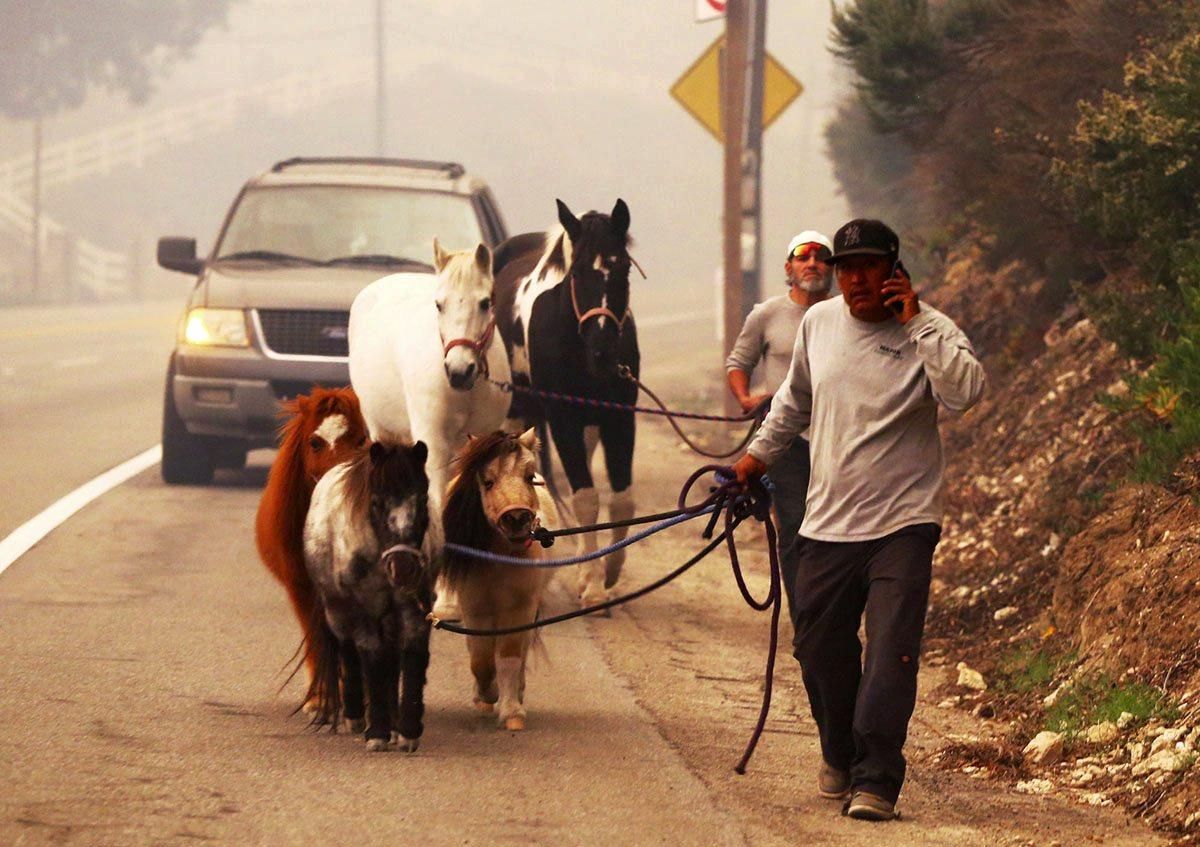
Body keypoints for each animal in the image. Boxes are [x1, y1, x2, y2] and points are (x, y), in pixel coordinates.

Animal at [302, 439, 434, 748]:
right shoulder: (361, 612)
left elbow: (412, 655)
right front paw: (377, 733)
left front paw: (407, 731)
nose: (403, 569)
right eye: (376, 502)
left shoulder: (414, 610)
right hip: (337, 612)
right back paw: (355, 716)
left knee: (392, 657)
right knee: (349, 649)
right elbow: (371, 657)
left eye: (423, 500)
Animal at [350, 237, 513, 614]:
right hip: (380, 428)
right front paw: (446, 598)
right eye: (439, 305)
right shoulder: (435, 445)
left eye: (485, 302)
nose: (459, 371)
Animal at [441, 429, 556, 724]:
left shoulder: (519, 608)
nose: (517, 518)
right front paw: (487, 695)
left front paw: (512, 711)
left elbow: (510, 657)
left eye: (529, 476)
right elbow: (480, 659)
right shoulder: (475, 609)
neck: (499, 558)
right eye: (488, 481)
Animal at [492, 197, 643, 607]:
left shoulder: (620, 419)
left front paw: (610, 571)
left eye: (623, 267)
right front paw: (591, 583)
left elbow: (621, 501)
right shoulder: (563, 421)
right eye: (576, 272)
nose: (604, 352)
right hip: (516, 411)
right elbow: (586, 499)